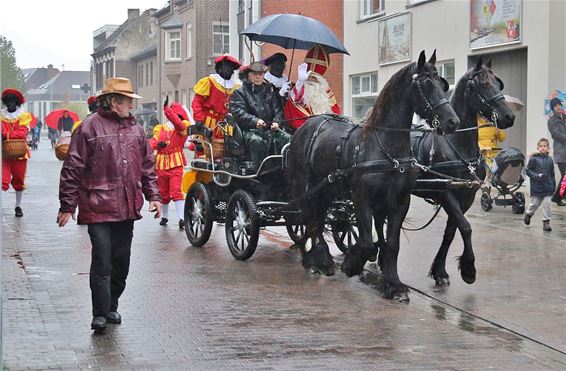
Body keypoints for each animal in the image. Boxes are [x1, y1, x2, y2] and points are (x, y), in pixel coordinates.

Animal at [288, 50, 462, 300]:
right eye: (427, 84)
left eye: (442, 83)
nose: (452, 122)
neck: (386, 146)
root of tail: (307, 125)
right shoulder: (362, 199)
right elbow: (368, 242)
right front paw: (351, 264)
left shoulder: (399, 201)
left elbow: (392, 244)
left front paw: (394, 285)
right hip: (306, 186)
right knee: (310, 219)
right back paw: (314, 261)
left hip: (326, 189)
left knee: (317, 219)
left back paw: (321, 260)